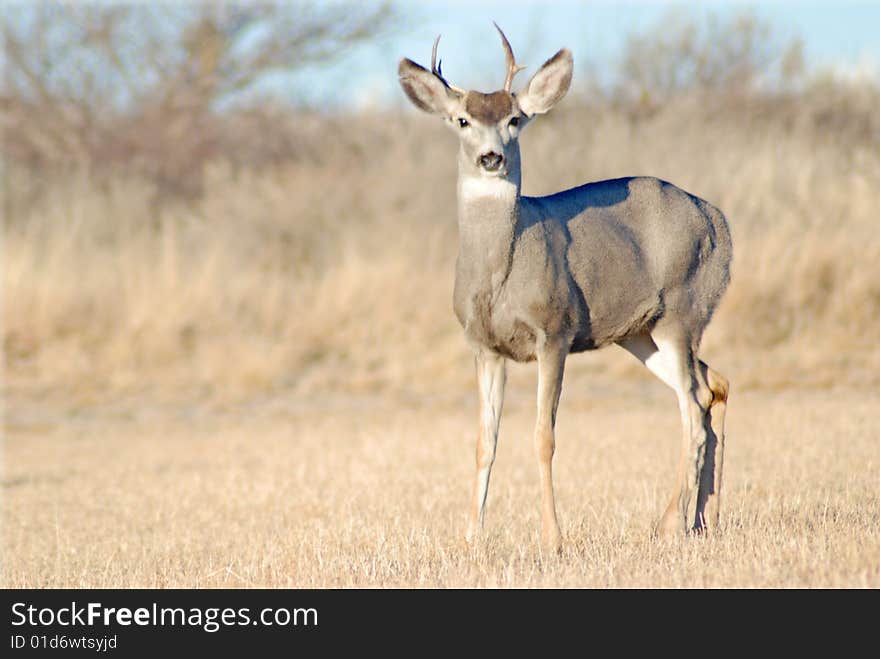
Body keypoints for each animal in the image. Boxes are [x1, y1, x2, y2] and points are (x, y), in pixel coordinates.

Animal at [398, 25, 728, 552]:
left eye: (514, 119)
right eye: (462, 119)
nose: (491, 156)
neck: (499, 277)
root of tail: (720, 221)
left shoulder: (554, 330)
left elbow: (543, 436)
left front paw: (552, 537)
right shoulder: (484, 345)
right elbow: (484, 441)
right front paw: (470, 538)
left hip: (683, 310)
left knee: (693, 404)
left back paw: (672, 524)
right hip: (639, 333)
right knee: (714, 386)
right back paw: (703, 520)